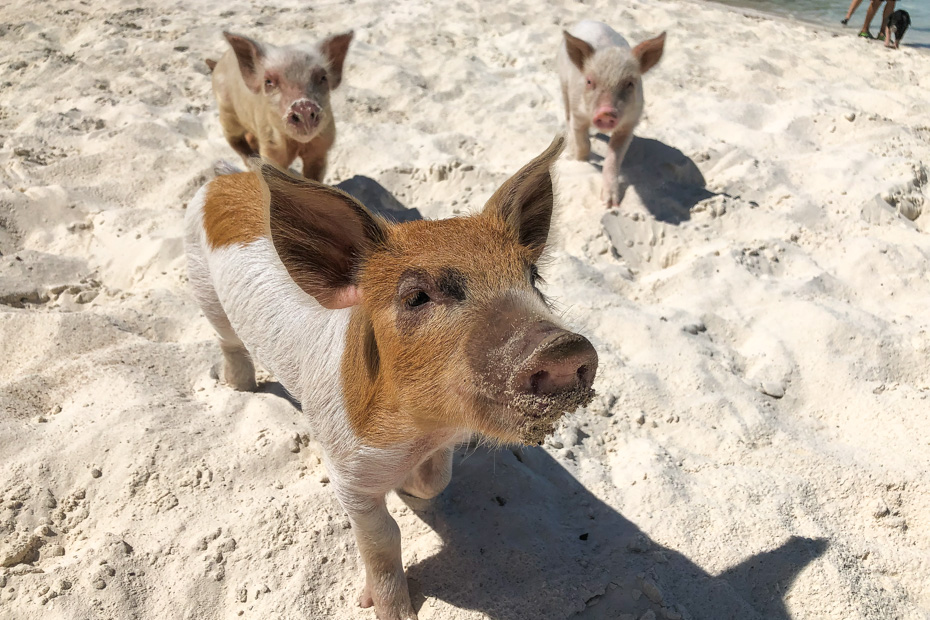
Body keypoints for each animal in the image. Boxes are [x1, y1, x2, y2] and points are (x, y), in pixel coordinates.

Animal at [184, 137, 598, 619]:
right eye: (416, 296)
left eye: (533, 278)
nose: (563, 347)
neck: (420, 431)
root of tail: (225, 179)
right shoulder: (346, 472)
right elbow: (383, 537)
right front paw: (389, 610)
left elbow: (438, 481)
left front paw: (410, 489)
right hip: (203, 288)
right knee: (227, 339)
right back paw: (240, 387)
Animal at [207, 30, 353, 181]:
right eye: (268, 81)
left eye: (323, 78)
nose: (303, 105)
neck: (298, 144)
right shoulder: (271, 146)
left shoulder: (321, 147)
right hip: (227, 112)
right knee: (235, 140)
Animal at [558, 20, 666, 206]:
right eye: (589, 81)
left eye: (629, 83)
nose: (606, 113)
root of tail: (589, 20)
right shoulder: (578, 114)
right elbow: (583, 143)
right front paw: (580, 161)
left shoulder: (629, 124)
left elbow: (613, 159)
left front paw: (610, 204)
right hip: (563, 84)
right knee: (566, 114)